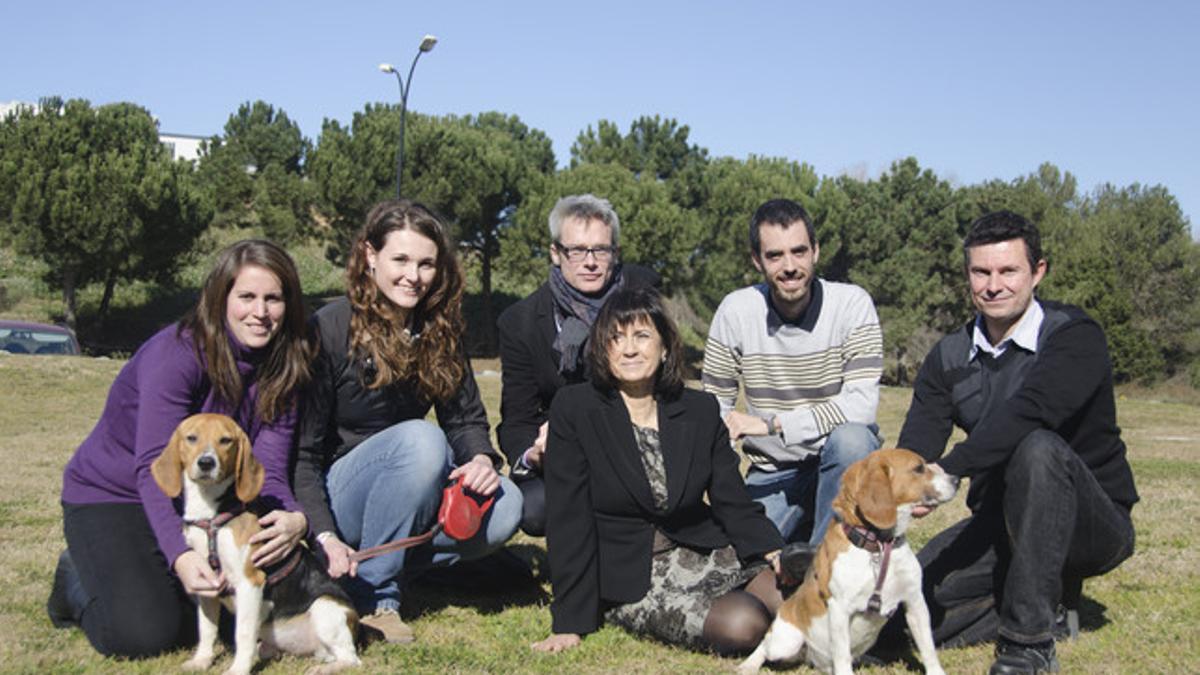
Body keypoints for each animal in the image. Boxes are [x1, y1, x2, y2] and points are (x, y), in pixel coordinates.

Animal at [150, 410, 357, 672]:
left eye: (225, 440)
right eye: (191, 438)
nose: (206, 463)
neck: (211, 515)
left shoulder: (250, 582)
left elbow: (243, 633)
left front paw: (238, 669)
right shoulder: (206, 583)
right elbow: (206, 628)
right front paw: (202, 660)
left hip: (325, 609)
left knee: (351, 659)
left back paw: (324, 669)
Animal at [734, 446, 960, 672]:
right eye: (919, 468)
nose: (957, 479)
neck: (878, 547)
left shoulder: (915, 602)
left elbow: (928, 648)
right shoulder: (840, 609)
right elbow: (842, 655)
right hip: (785, 643)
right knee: (765, 645)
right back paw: (748, 665)